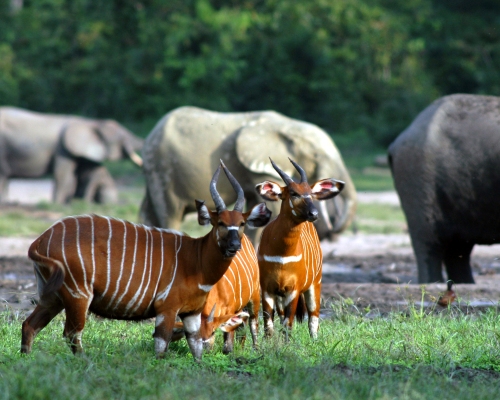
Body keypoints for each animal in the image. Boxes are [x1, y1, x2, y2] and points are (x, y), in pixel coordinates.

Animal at [20, 161, 270, 360]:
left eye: (241, 223)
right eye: (220, 223)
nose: (234, 245)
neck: (196, 259)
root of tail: (40, 240)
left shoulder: (192, 313)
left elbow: (196, 349)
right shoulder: (167, 308)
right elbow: (161, 348)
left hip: (53, 296)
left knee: (29, 325)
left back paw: (25, 361)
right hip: (78, 295)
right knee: (72, 333)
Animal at [140, 104, 356, 241]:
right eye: (317, 156)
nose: (331, 231)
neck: (288, 126)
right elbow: (271, 207)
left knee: (149, 213)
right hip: (162, 169)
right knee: (170, 213)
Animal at [258, 158, 344, 340]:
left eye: (310, 193)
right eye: (293, 193)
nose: (314, 214)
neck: (282, 255)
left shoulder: (294, 289)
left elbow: (288, 324)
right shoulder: (267, 288)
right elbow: (269, 325)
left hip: (315, 284)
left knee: (313, 318)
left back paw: (314, 341)